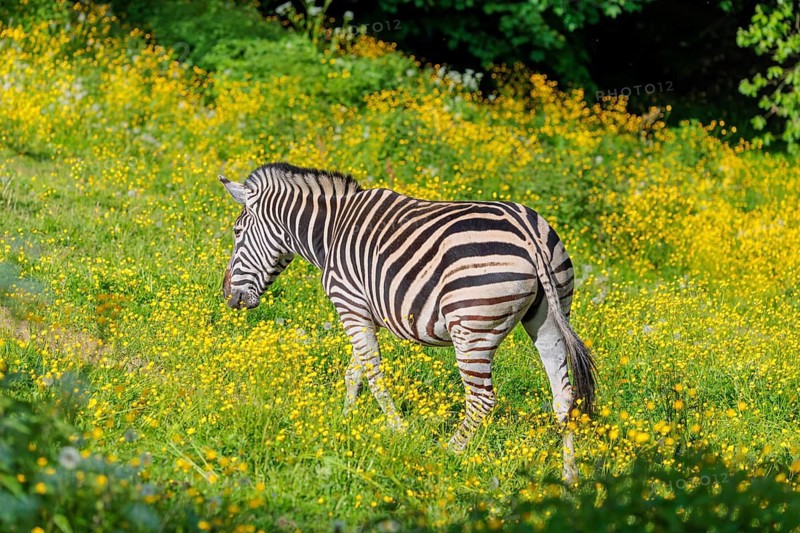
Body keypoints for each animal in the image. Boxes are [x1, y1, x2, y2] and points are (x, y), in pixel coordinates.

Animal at [220, 163, 596, 483]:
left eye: (237, 232)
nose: (228, 296)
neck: (330, 231)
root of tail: (528, 232)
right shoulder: (366, 312)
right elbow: (355, 372)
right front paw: (345, 423)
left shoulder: (349, 303)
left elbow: (373, 374)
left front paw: (397, 429)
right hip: (550, 316)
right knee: (564, 397)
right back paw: (570, 476)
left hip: (472, 328)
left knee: (482, 399)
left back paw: (447, 454)